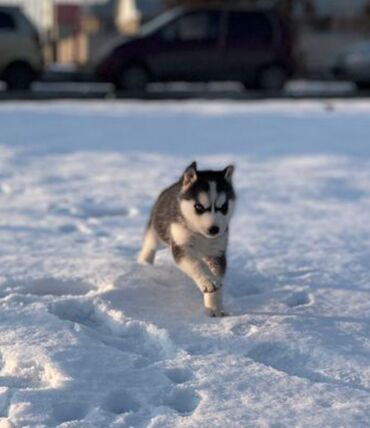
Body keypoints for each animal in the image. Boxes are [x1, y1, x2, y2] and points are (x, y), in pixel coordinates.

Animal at [137, 162, 236, 316]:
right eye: (199, 207)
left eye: (224, 207)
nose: (214, 229)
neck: (201, 235)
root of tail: (178, 182)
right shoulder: (181, 246)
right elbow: (196, 264)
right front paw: (208, 281)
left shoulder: (217, 252)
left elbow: (217, 276)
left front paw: (214, 307)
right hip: (159, 232)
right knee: (150, 243)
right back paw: (144, 261)